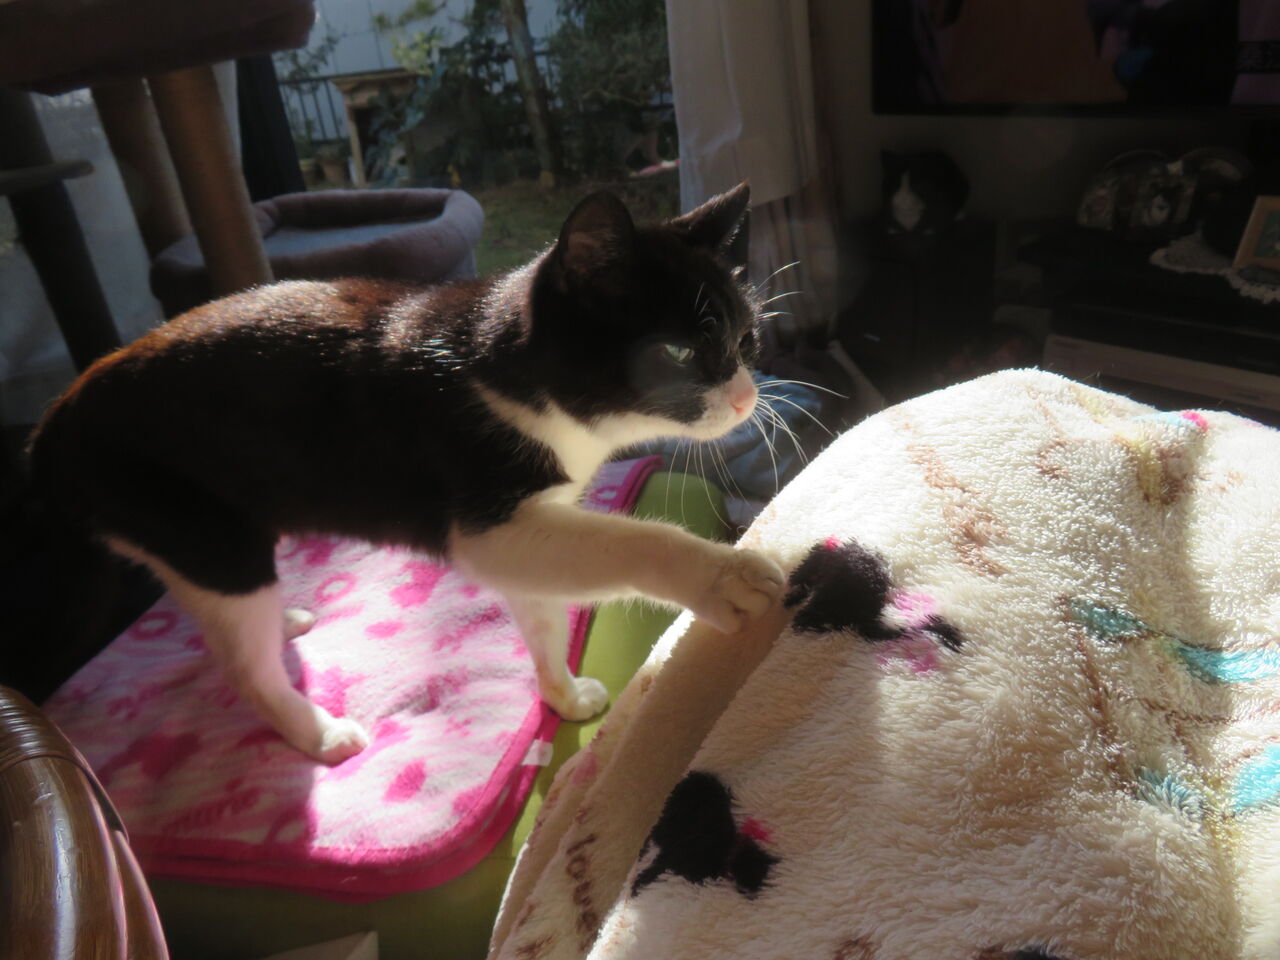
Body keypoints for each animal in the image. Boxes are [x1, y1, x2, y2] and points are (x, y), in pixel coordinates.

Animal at [28, 182, 785, 765]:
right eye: (679, 352)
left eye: (747, 338)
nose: (746, 397)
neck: (510, 372)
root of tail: (50, 428)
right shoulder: (486, 519)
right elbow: (627, 543)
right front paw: (722, 577)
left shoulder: (527, 535)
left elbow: (540, 612)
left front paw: (563, 695)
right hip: (194, 524)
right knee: (242, 661)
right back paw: (317, 733)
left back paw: (285, 618)